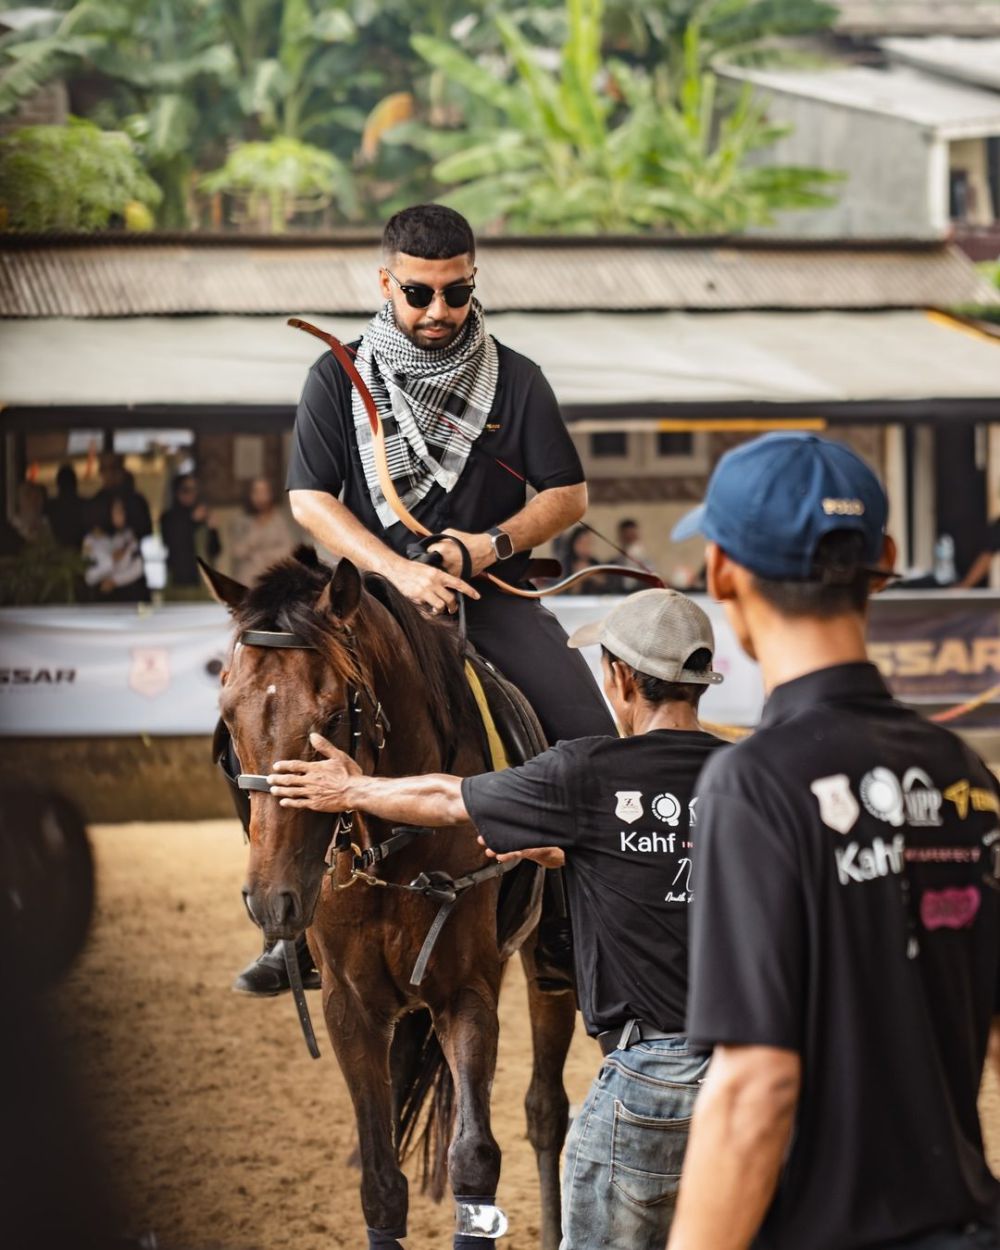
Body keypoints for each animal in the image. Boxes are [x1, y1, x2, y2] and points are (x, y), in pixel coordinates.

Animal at [202, 550, 575, 1250]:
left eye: (331, 716)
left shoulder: (464, 994)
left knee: (546, 1109)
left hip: (543, 970)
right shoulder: (352, 1008)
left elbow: (474, 1160)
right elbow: (380, 1181)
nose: (272, 901)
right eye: (229, 716)